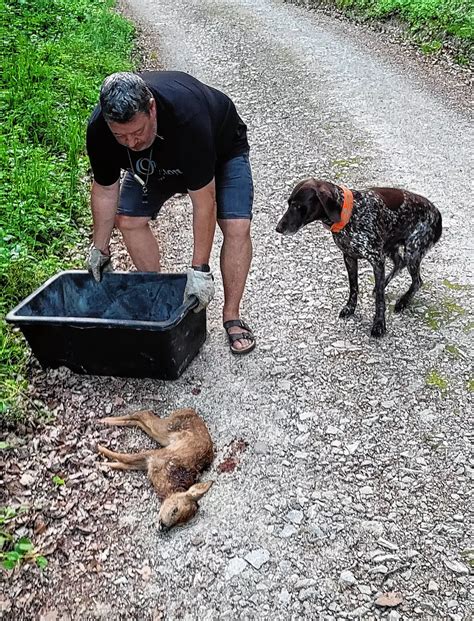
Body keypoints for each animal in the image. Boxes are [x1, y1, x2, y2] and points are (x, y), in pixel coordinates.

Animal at [276, 177, 442, 336]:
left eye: (297, 206)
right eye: (289, 203)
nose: (278, 228)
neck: (350, 213)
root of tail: (437, 213)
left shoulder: (377, 260)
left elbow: (380, 299)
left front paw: (379, 324)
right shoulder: (349, 258)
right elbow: (354, 287)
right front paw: (350, 308)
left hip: (412, 252)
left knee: (417, 281)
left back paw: (403, 301)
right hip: (391, 247)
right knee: (399, 263)